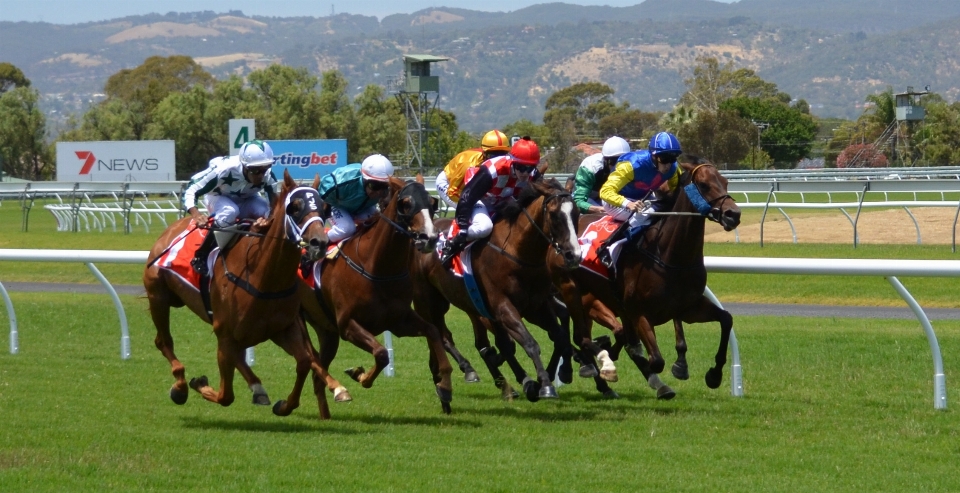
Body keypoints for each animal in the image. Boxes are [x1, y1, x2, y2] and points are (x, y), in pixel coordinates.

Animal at [143, 171, 334, 418]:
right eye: (295, 207)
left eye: (324, 207)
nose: (319, 242)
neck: (264, 277)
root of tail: (171, 229)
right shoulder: (224, 334)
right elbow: (226, 396)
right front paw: (199, 384)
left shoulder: (283, 328)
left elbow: (304, 362)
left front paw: (284, 405)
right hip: (158, 296)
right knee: (163, 341)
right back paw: (180, 386)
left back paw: (257, 388)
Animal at [296, 176, 454, 412]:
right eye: (406, 203)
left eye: (432, 202)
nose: (430, 238)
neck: (378, 267)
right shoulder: (347, 325)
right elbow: (381, 354)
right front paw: (360, 375)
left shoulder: (399, 320)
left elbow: (433, 331)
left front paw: (445, 385)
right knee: (307, 359)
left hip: (327, 331)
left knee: (317, 376)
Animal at [408, 177, 580, 400]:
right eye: (553, 214)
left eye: (576, 213)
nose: (574, 255)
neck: (517, 254)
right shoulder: (503, 306)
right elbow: (530, 343)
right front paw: (546, 384)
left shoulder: (535, 307)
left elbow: (558, 337)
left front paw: (553, 376)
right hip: (428, 302)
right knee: (441, 335)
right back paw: (466, 371)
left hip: (469, 307)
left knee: (487, 343)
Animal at [548, 160, 744, 398]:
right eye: (705, 185)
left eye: (725, 182)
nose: (733, 214)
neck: (670, 256)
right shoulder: (639, 313)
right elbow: (655, 360)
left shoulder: (687, 308)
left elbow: (726, 319)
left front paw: (713, 375)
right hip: (573, 292)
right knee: (580, 336)